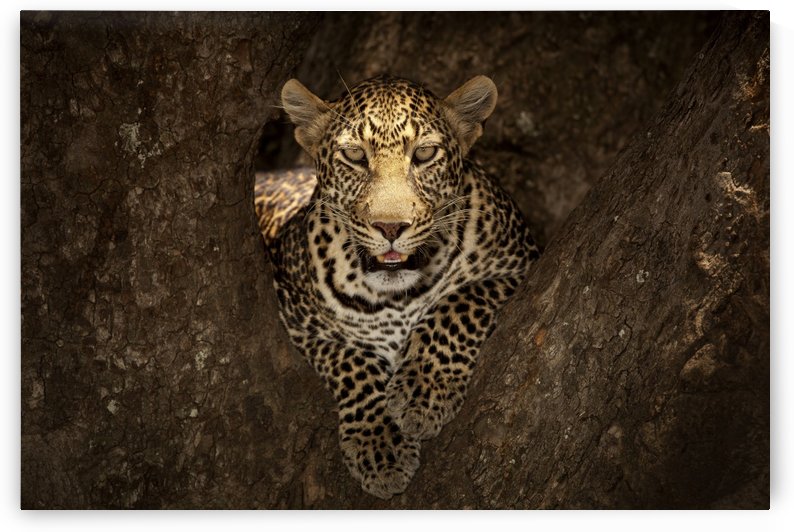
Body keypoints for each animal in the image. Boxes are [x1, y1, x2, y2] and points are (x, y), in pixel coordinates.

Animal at [255, 74, 540, 499]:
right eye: (354, 156)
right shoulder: (295, 317)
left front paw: (423, 391)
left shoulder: (520, 264)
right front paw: (380, 446)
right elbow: (351, 361)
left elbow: (458, 303)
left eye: (424, 153)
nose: (390, 227)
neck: (396, 297)